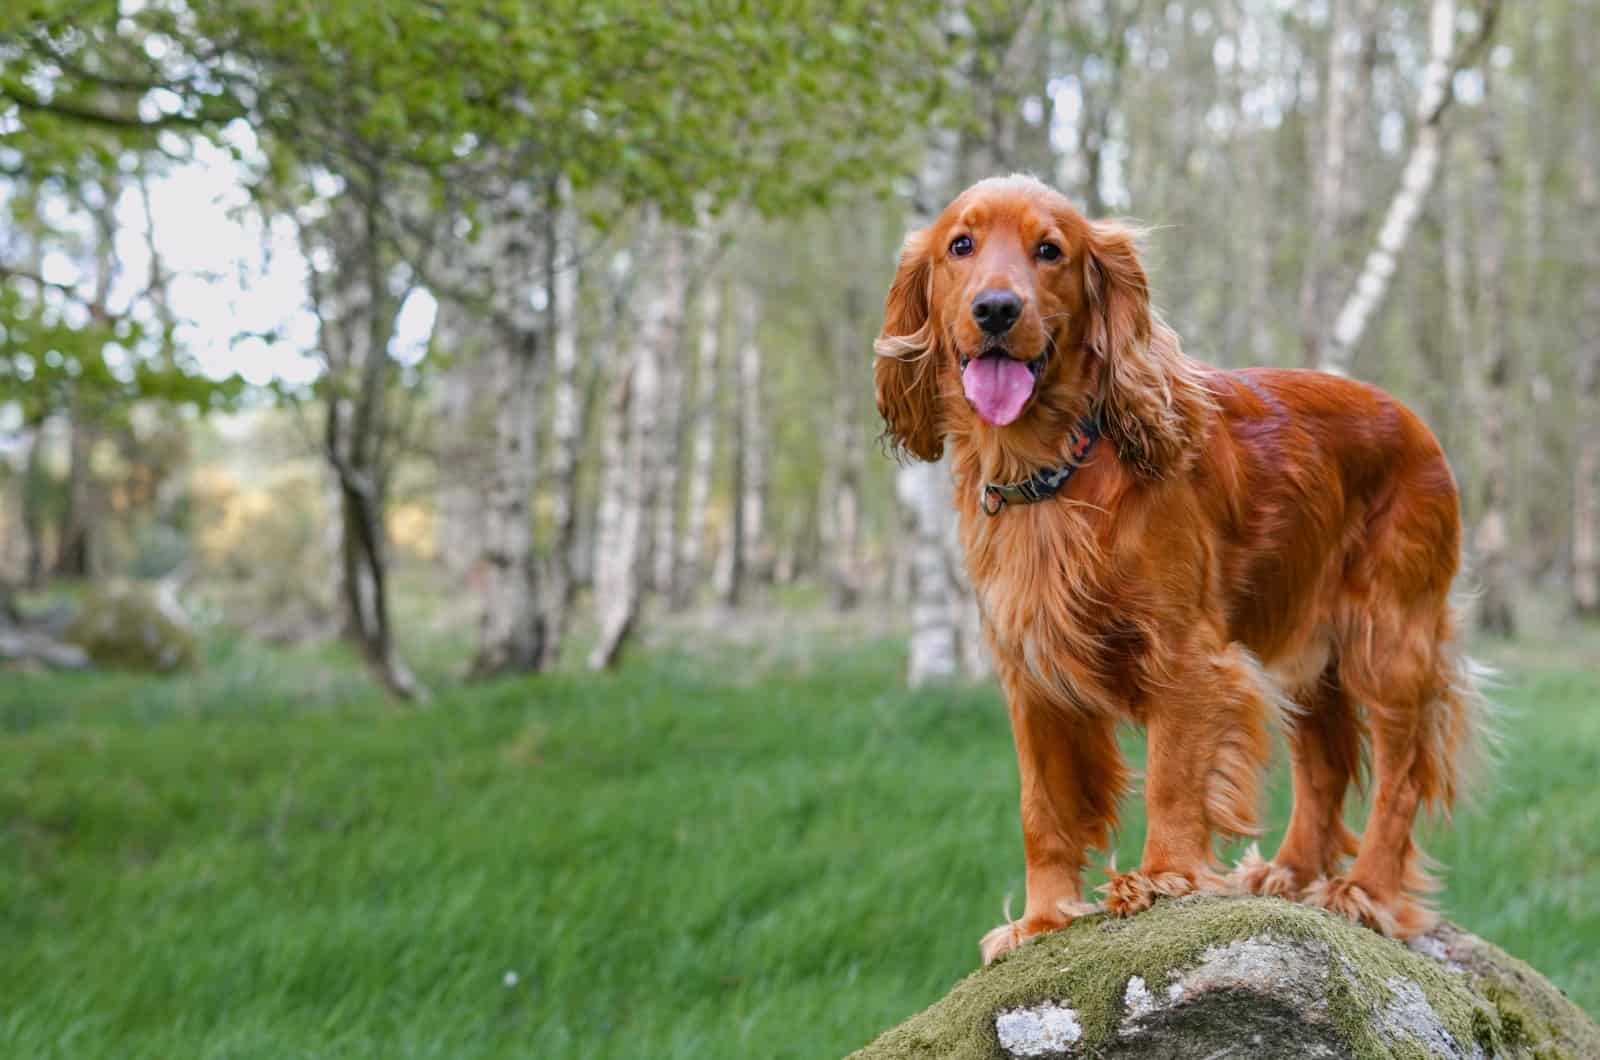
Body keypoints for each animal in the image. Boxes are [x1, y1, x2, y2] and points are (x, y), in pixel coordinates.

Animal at [876, 176, 1484, 960]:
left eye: (1050, 251)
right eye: (961, 245)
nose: (997, 309)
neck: (1055, 472)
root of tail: (1414, 422)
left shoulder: (1186, 655)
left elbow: (1172, 773)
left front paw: (1162, 877)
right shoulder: (1029, 674)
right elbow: (1043, 808)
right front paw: (1042, 920)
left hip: (1388, 642)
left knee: (1400, 779)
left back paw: (1366, 892)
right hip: (1306, 653)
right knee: (1323, 766)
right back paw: (1291, 873)